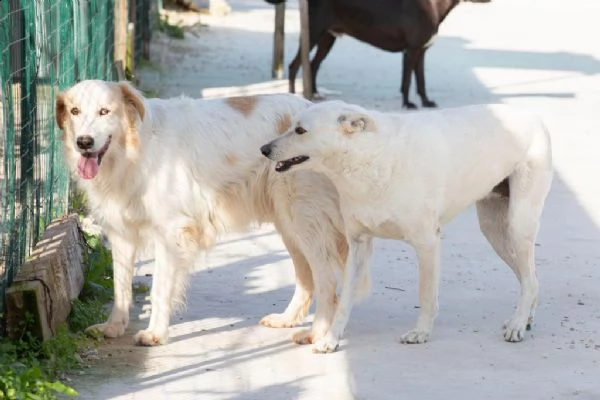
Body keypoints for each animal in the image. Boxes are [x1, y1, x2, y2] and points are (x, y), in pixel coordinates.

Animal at [56, 79, 368, 346]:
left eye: (105, 111)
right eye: (74, 111)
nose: (84, 142)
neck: (133, 151)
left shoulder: (170, 233)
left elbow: (159, 289)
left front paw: (155, 333)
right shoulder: (121, 235)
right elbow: (121, 288)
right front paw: (114, 326)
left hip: (304, 220)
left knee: (326, 281)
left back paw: (316, 334)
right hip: (290, 225)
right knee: (306, 278)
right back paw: (287, 320)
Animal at [260, 100, 552, 354]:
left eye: (300, 130)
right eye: (291, 126)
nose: (263, 149)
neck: (368, 159)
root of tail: (533, 116)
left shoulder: (427, 244)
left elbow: (425, 296)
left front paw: (421, 333)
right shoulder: (357, 247)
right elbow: (343, 303)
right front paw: (331, 340)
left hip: (518, 225)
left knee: (529, 279)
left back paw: (517, 324)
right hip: (495, 231)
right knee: (532, 279)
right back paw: (524, 319)